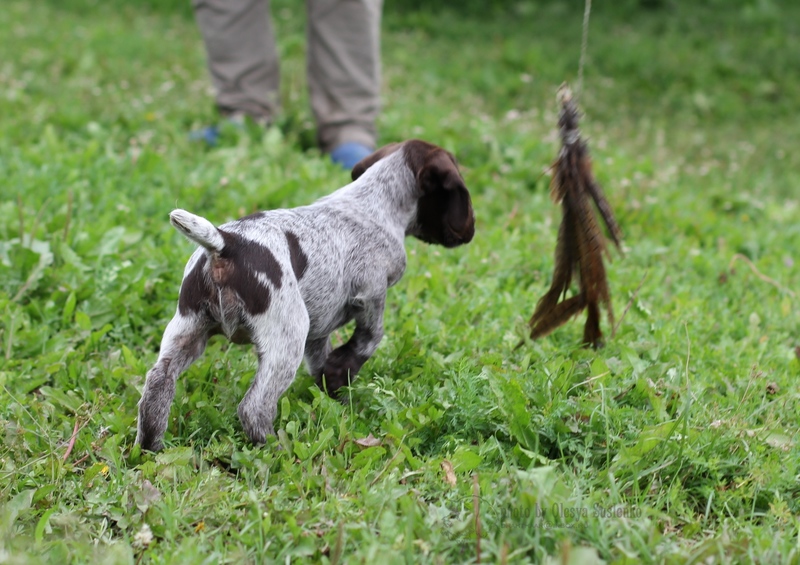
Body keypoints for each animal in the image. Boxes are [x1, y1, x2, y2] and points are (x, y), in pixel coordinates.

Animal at [137, 138, 476, 450]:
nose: (471, 230)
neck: (373, 202)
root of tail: (224, 243)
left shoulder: (320, 328)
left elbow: (323, 362)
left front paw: (333, 391)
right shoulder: (371, 293)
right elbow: (369, 339)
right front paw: (341, 372)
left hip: (187, 328)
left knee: (157, 385)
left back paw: (149, 447)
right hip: (287, 337)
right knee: (254, 407)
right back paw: (276, 449)